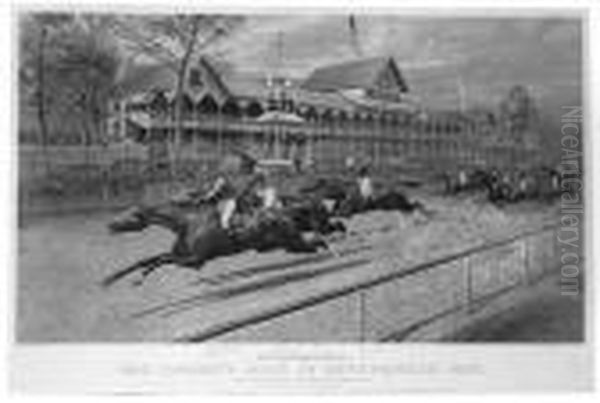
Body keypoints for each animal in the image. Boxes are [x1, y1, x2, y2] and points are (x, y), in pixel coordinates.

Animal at [102, 202, 328, 288]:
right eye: (125, 211)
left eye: (132, 215)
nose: (109, 225)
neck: (186, 223)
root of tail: (285, 214)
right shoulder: (183, 255)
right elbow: (147, 260)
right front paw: (111, 279)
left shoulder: (195, 261)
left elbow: (163, 260)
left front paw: (138, 278)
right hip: (284, 245)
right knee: (309, 244)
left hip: (292, 242)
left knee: (313, 244)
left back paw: (327, 246)